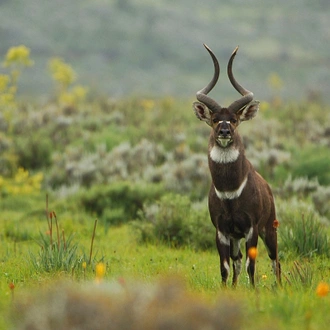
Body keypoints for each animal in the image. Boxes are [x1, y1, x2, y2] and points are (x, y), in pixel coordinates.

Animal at [193, 43, 282, 286]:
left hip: (269, 229)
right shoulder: (222, 231)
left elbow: (253, 265)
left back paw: (279, 287)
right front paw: (227, 290)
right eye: (215, 119)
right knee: (237, 260)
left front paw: (254, 291)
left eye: (234, 119)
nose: (224, 132)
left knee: (275, 260)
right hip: (236, 238)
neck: (230, 191)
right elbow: (225, 267)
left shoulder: (251, 228)